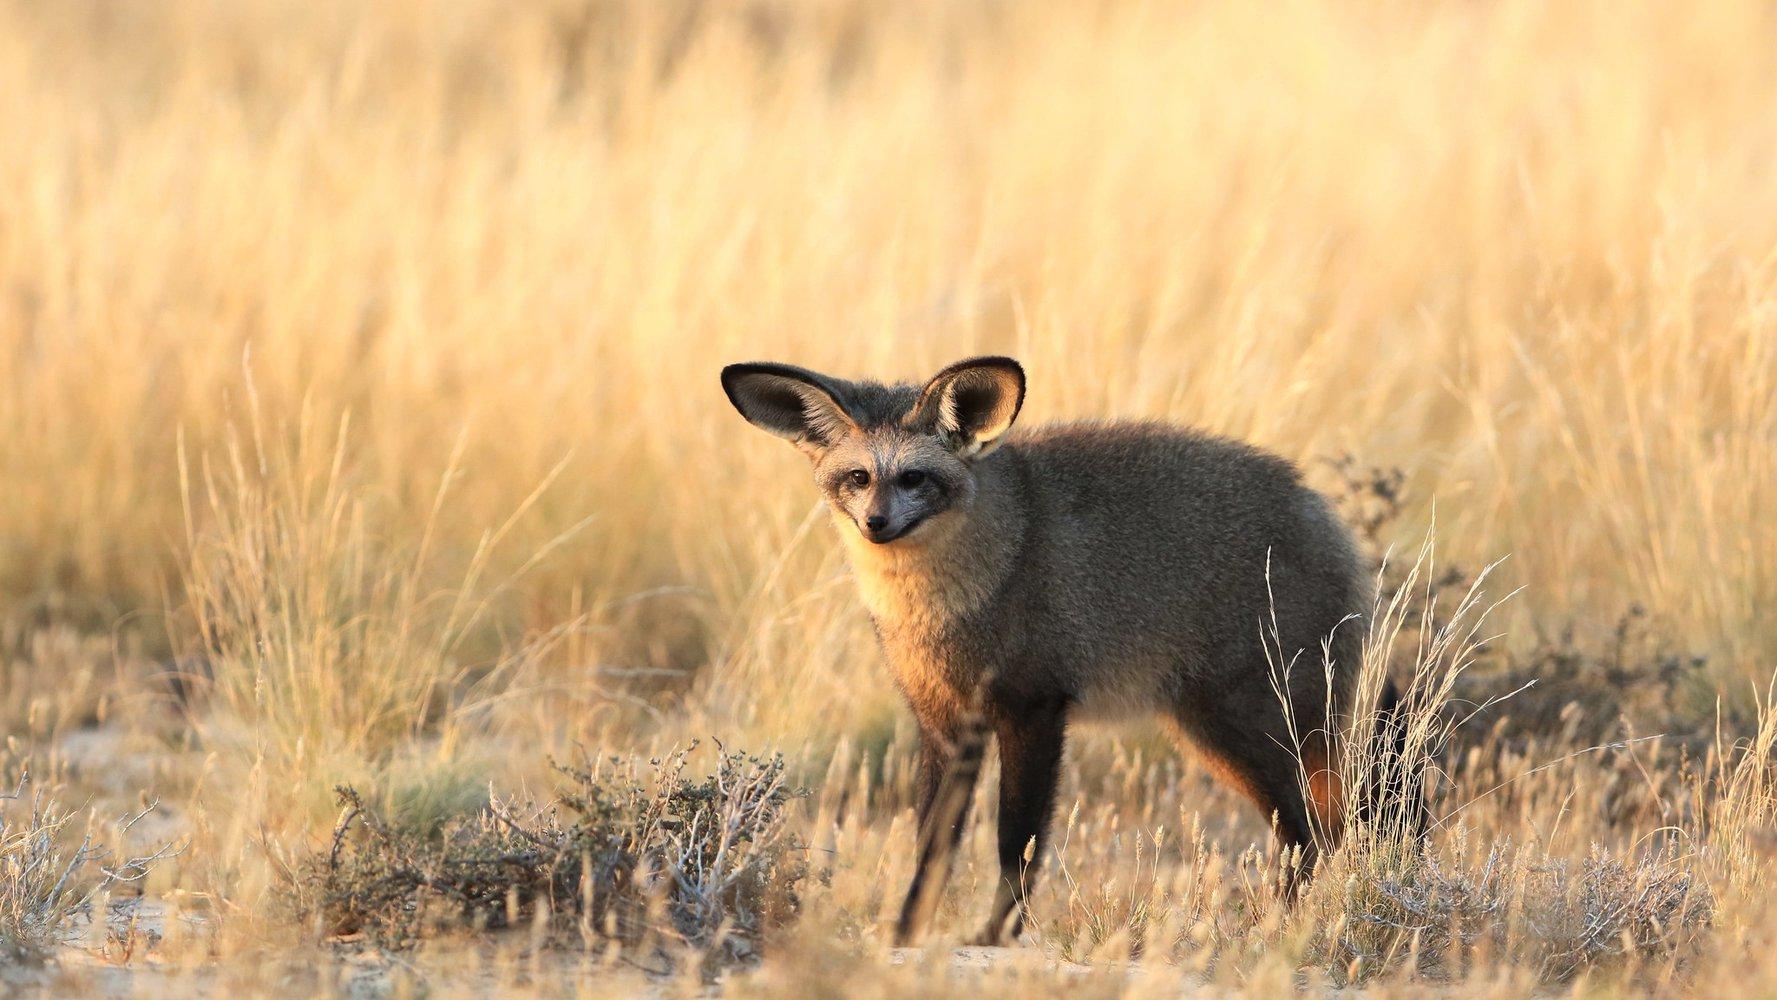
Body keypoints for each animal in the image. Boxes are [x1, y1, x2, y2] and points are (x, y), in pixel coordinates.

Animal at [714, 358, 1421, 944]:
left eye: (915, 478)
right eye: (858, 478)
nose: (875, 525)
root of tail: (1326, 516)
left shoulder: (1034, 709)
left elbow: (1016, 842)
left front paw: (995, 938)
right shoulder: (944, 723)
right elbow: (932, 847)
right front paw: (906, 934)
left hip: (1243, 728)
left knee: (1316, 833)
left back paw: (1271, 932)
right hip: (1227, 733)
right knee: (1331, 827)